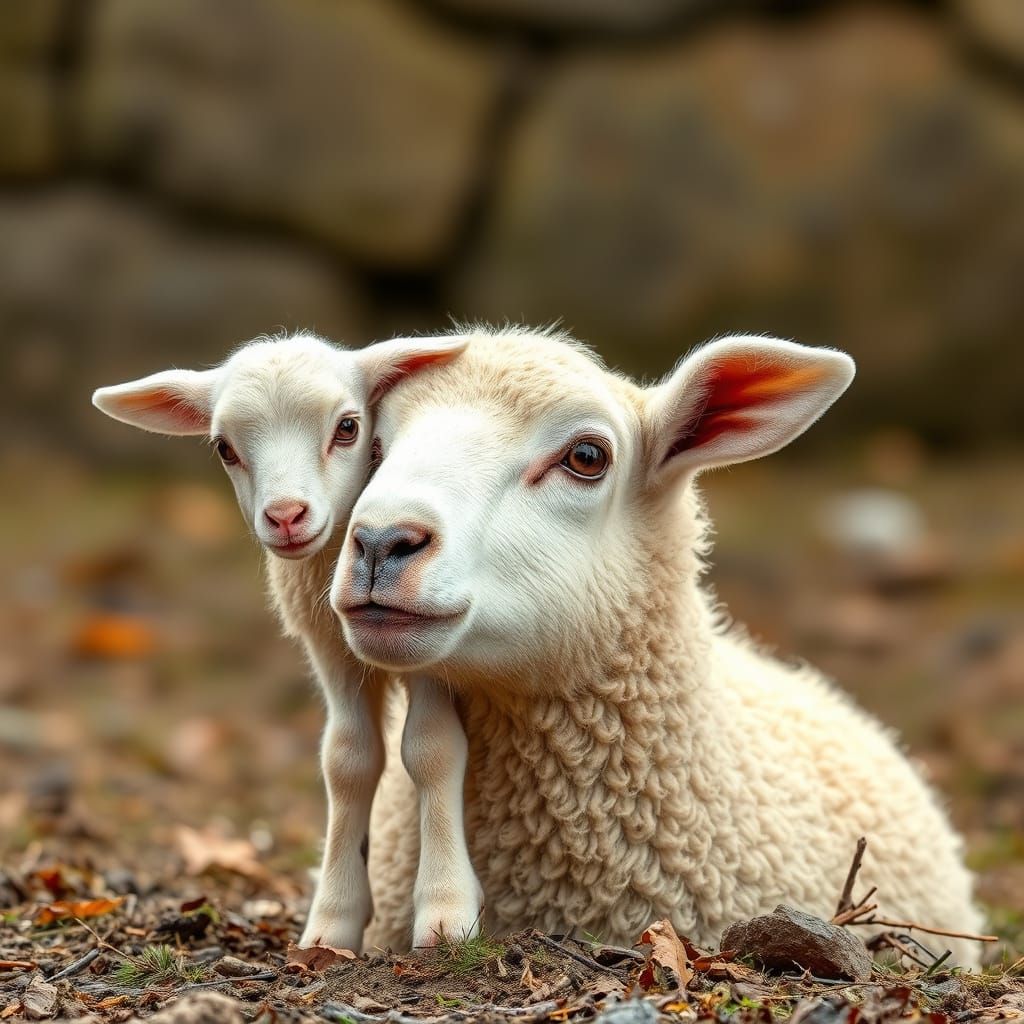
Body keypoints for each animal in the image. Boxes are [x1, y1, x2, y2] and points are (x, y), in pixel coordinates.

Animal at [92, 331, 484, 951]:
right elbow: (347, 760)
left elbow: (431, 749)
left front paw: (445, 915)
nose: (285, 515)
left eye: (347, 427)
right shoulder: (331, 649)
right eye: (224, 448)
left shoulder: (428, 642)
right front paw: (331, 925)